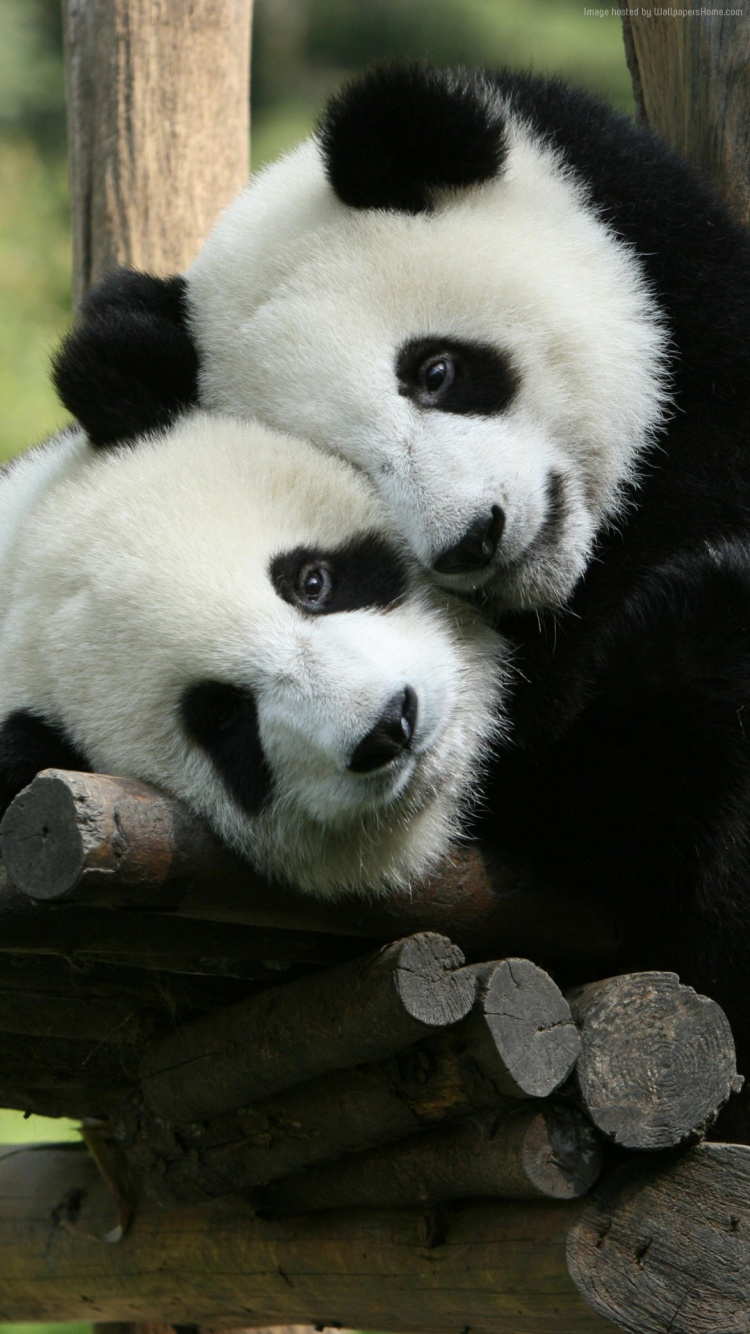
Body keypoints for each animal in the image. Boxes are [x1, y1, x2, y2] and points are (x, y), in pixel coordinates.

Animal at [53, 66, 750, 1095]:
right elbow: (597, 810)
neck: (577, 576)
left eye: (437, 370)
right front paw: (691, 632)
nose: (474, 538)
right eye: (353, 469)